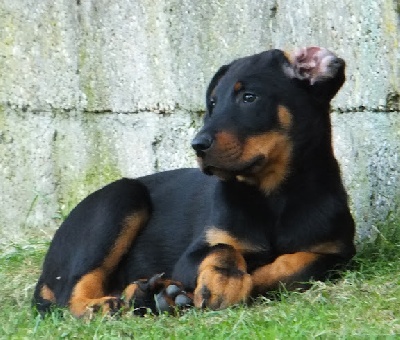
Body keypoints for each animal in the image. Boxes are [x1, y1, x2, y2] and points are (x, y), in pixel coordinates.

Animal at [32, 46, 354, 318]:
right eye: (212, 102)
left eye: (249, 97)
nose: (197, 145)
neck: (272, 195)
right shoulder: (195, 252)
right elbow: (223, 249)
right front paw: (224, 281)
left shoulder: (334, 253)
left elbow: (290, 266)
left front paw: (196, 289)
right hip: (121, 198)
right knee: (70, 293)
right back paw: (107, 305)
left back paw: (150, 294)